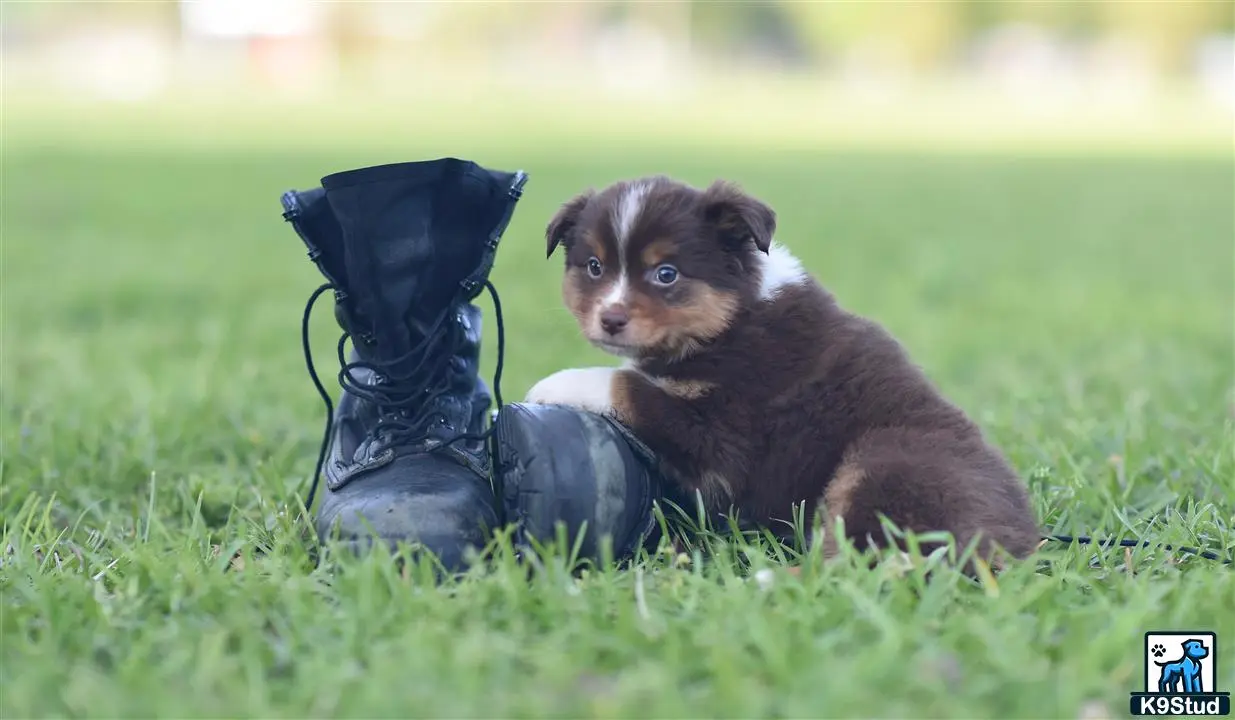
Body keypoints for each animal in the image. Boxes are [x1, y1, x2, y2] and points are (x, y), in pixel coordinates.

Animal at [523, 176, 1042, 568]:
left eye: (666, 274)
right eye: (594, 267)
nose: (610, 319)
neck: (733, 317)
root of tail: (1020, 546)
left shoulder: (723, 431)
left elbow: (627, 384)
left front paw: (552, 384)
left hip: (884, 464)